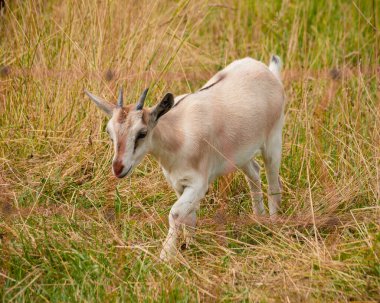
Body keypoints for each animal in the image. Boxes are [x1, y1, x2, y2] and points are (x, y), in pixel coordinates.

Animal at [84, 55, 284, 262]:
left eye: (142, 133)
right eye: (110, 132)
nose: (118, 167)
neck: (178, 135)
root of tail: (268, 72)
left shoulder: (198, 184)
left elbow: (176, 214)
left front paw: (164, 257)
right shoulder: (179, 184)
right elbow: (189, 216)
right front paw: (190, 246)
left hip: (273, 142)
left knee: (274, 183)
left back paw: (273, 223)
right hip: (241, 155)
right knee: (254, 173)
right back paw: (258, 219)